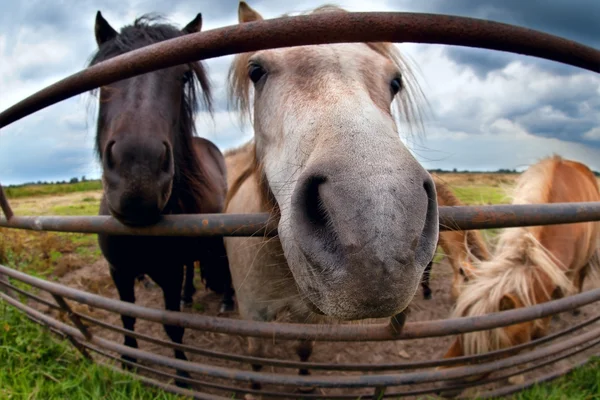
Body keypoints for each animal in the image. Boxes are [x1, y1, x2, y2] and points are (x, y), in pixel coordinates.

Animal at [91, 11, 234, 388]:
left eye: (183, 76)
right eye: (105, 73)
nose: (138, 175)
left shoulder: (167, 273)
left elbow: (173, 326)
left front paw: (182, 376)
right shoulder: (119, 271)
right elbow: (127, 317)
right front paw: (128, 360)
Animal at [223, 1, 438, 392]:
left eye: (395, 81)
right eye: (256, 71)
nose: (379, 233)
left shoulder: (309, 318)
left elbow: (305, 350)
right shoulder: (253, 316)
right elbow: (255, 362)